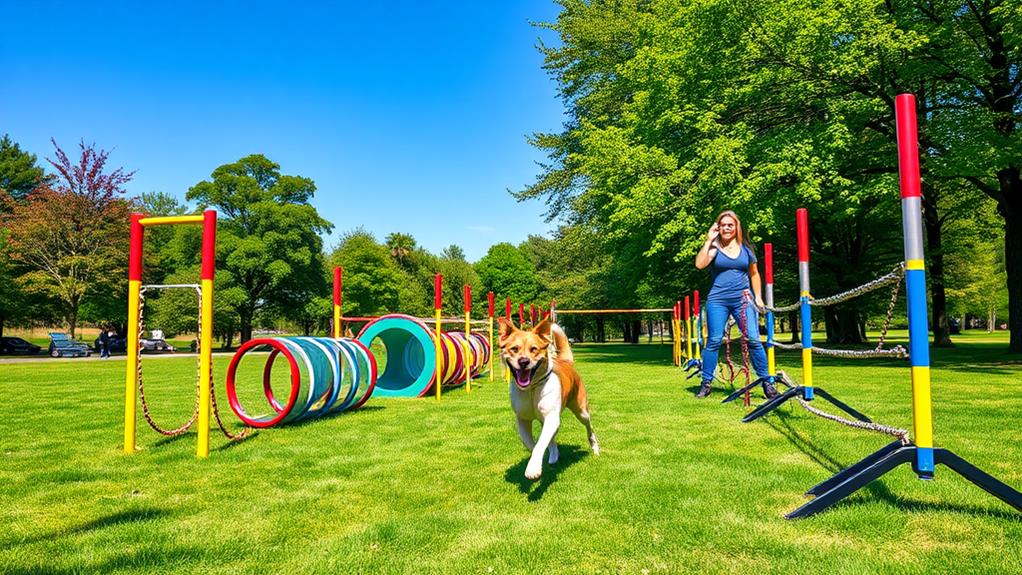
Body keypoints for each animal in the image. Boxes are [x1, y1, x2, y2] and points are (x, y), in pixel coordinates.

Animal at [500, 316, 600, 484]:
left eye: (534, 349)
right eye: (514, 349)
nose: (523, 361)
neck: (531, 389)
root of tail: (566, 362)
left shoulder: (551, 417)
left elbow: (540, 443)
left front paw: (533, 470)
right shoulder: (522, 419)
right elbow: (532, 443)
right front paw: (539, 461)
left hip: (581, 410)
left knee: (589, 427)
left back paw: (595, 447)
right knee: (552, 438)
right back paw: (553, 456)